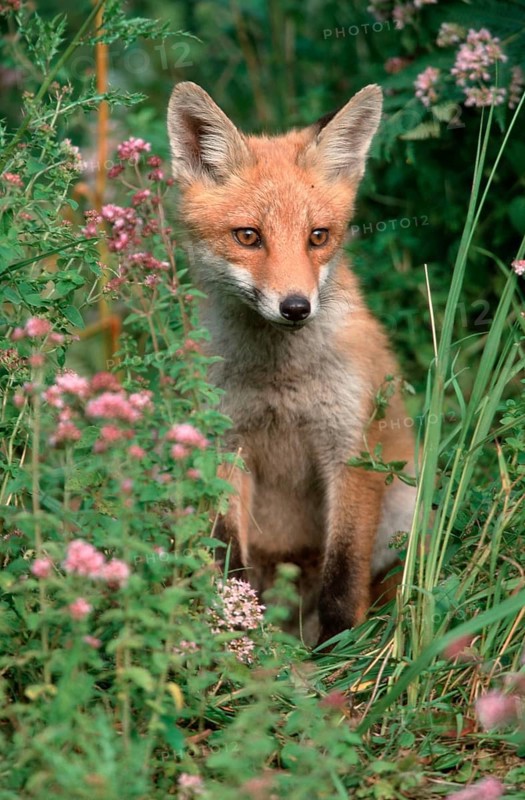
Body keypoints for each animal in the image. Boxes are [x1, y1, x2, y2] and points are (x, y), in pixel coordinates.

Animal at [167, 81, 417, 646]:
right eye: (248, 236)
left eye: (317, 237)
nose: (296, 307)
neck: (280, 381)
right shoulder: (225, 447)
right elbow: (230, 564)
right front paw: (237, 632)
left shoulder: (350, 450)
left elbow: (343, 580)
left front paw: (338, 653)